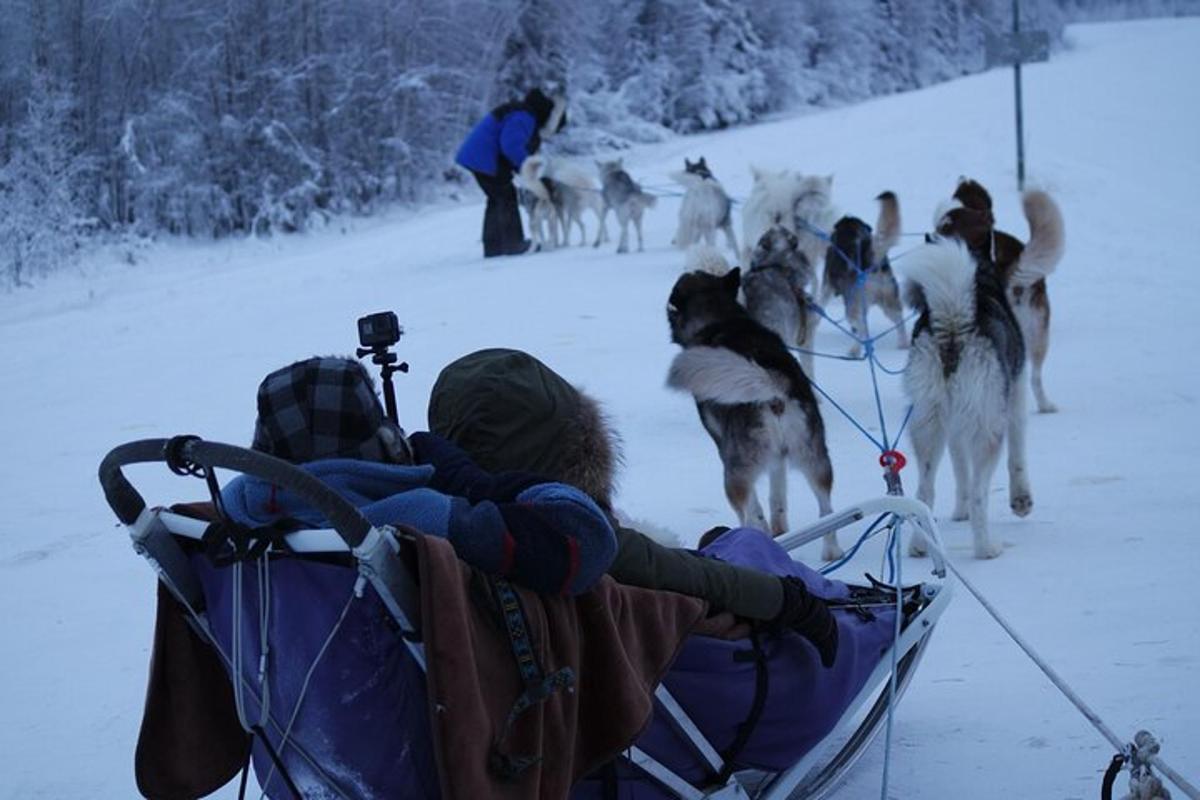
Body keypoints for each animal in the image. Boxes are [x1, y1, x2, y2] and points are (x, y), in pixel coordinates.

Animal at [662, 266, 840, 561]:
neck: (721, 319)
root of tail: (773, 387)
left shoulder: (725, 450)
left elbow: (756, 508)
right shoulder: (779, 458)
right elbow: (778, 495)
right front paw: (780, 529)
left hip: (736, 471)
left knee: (749, 513)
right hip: (815, 457)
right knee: (827, 509)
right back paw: (832, 552)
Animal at [825, 189, 907, 355]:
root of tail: (873, 263)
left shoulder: (826, 285)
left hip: (853, 306)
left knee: (861, 328)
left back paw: (855, 350)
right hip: (889, 301)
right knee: (899, 321)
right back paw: (902, 344)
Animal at [902, 241, 1032, 561]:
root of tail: (952, 325)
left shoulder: (954, 429)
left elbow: (959, 469)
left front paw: (958, 513)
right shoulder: (1016, 398)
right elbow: (1018, 458)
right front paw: (1022, 501)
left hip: (927, 426)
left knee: (924, 493)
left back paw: (919, 546)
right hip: (988, 431)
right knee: (978, 494)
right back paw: (986, 549)